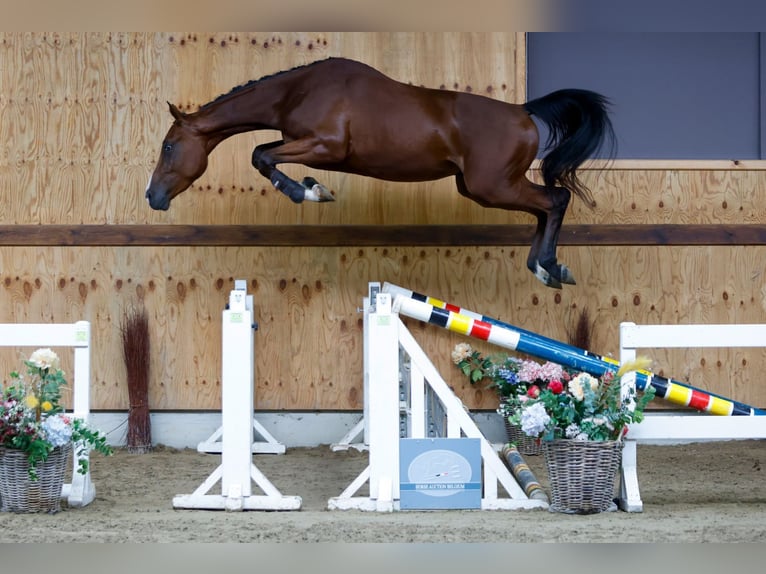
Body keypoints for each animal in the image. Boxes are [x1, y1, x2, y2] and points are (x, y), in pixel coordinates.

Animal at [146, 56, 616, 290]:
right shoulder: (311, 148)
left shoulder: (325, 146)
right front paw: (312, 187)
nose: (153, 197)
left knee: (555, 200)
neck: (297, 91)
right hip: (483, 188)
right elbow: (264, 153)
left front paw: (309, 192)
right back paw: (543, 269)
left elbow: (261, 156)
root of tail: (523, 111)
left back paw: (550, 268)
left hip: (493, 187)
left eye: (169, 147)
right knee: (543, 209)